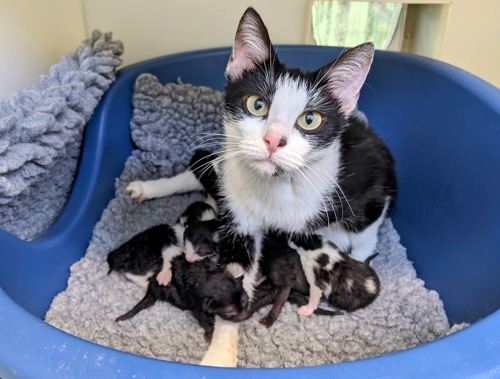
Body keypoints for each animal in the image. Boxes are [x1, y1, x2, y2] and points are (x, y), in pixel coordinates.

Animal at [127, 7, 396, 304]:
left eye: (310, 119)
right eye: (257, 104)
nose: (273, 140)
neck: (277, 185)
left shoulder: (371, 189)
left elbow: (364, 237)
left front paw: (358, 266)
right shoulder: (240, 217)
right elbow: (239, 265)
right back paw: (147, 188)